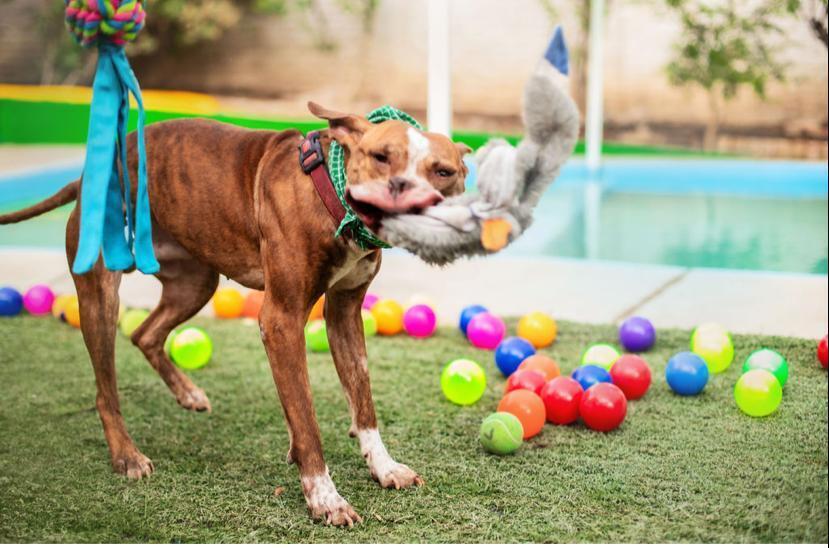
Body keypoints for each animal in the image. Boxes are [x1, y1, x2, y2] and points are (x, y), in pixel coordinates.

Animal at [0, 103, 466, 528]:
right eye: (381, 156)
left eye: (443, 171)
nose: (403, 191)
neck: (329, 193)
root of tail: (87, 177)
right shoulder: (281, 320)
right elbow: (307, 420)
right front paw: (325, 498)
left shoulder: (345, 314)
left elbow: (363, 400)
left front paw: (383, 467)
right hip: (101, 295)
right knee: (105, 388)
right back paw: (127, 455)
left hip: (194, 284)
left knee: (145, 334)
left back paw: (187, 393)